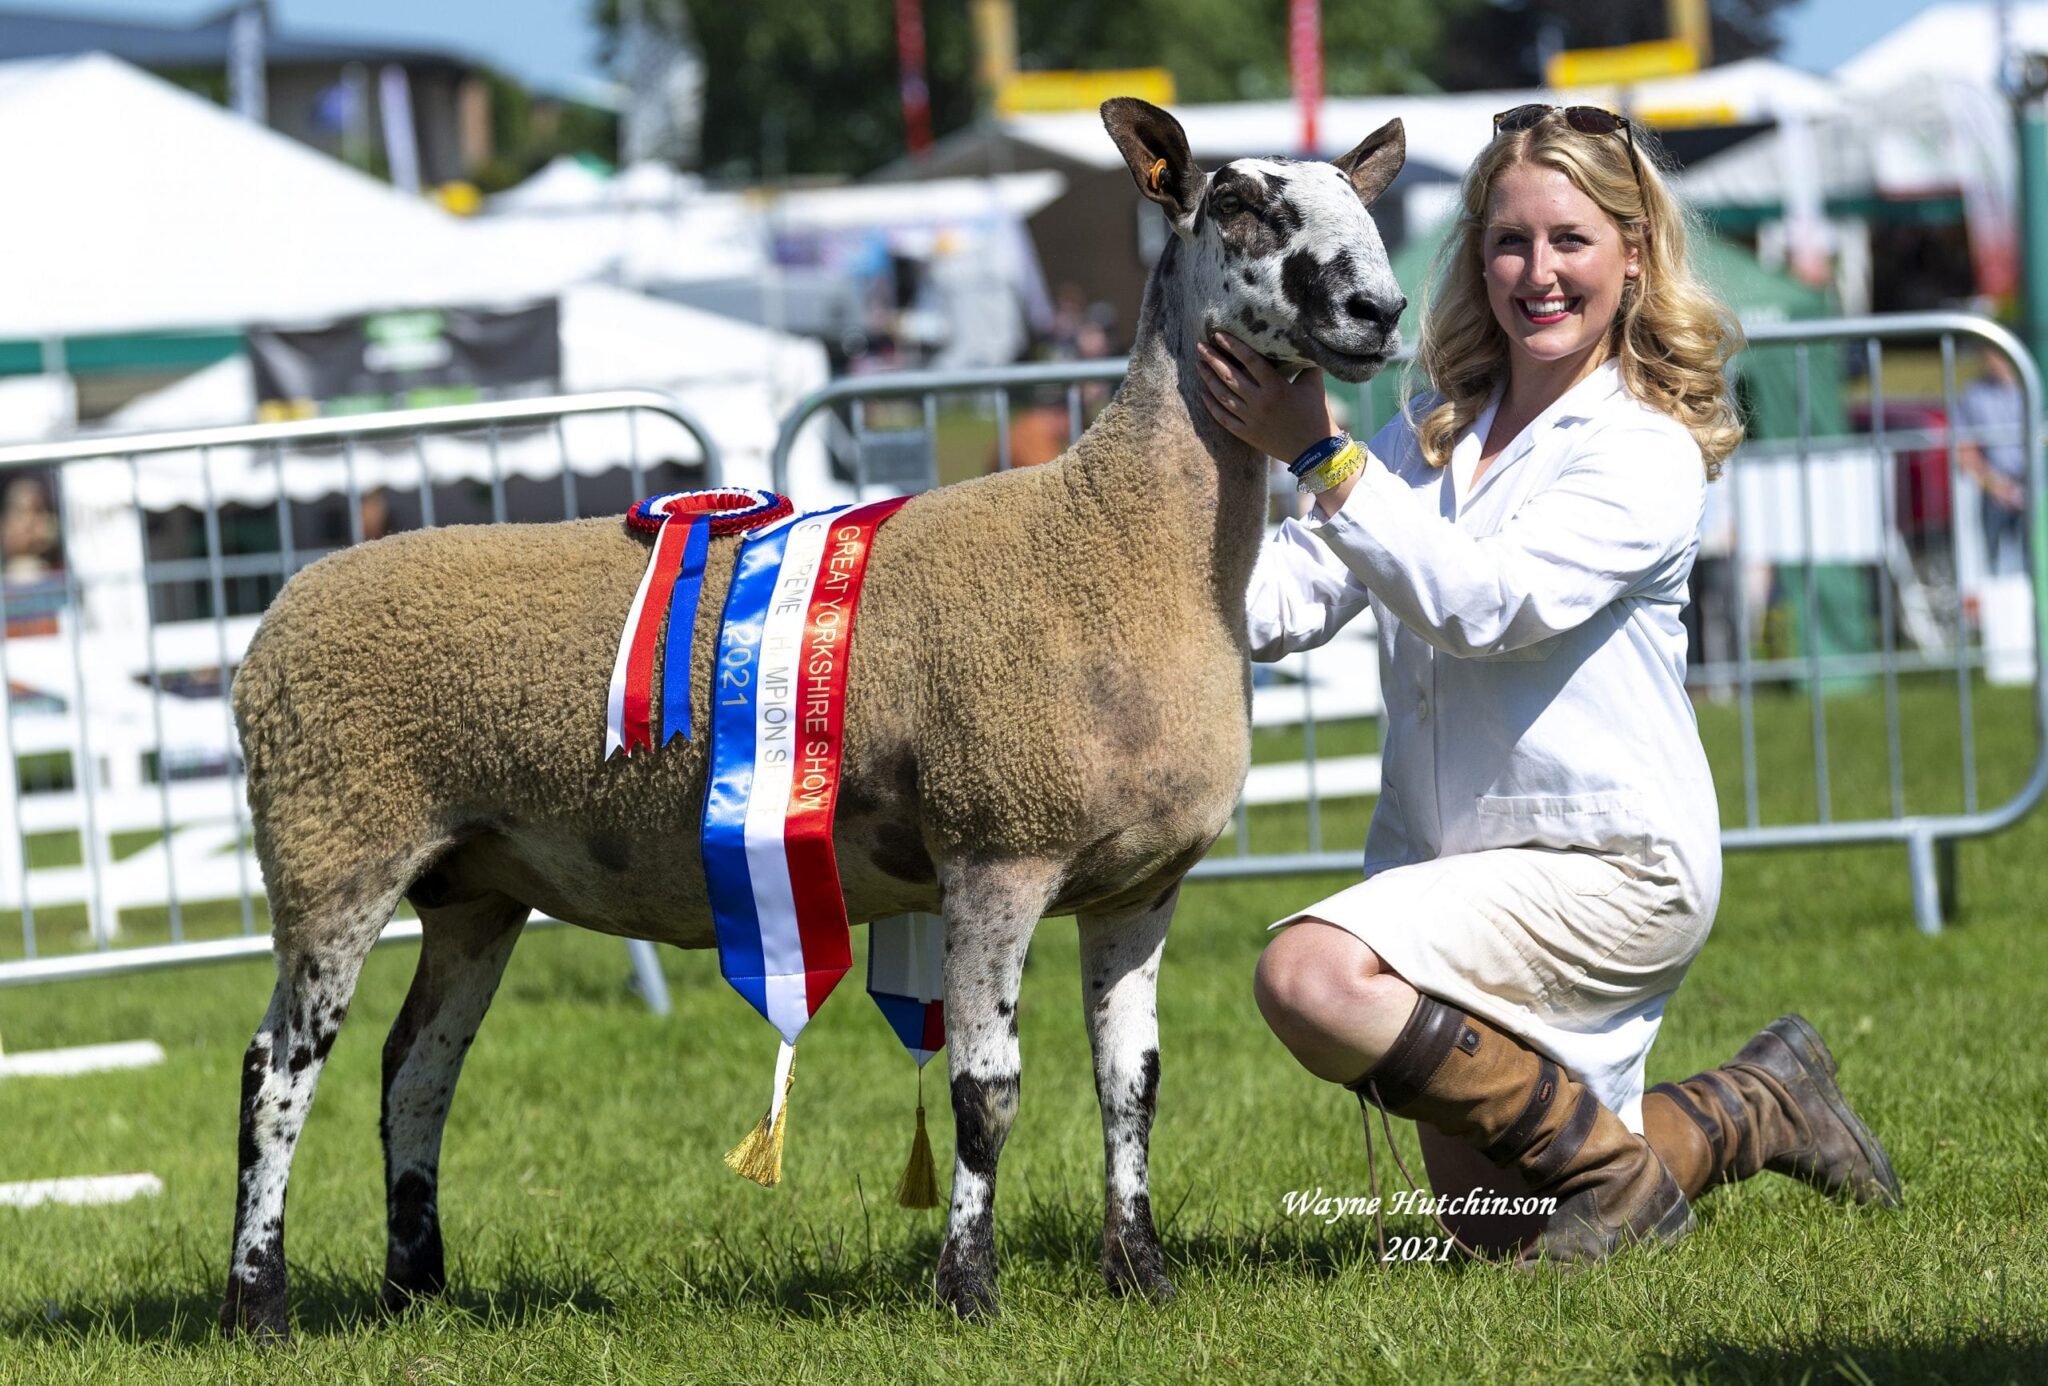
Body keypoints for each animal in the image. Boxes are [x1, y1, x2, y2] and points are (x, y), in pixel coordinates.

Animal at [220, 97, 1409, 1326]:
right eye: (1239, 203)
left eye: (1360, 203)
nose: (1380, 311)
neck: (1121, 545)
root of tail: (279, 616)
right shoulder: (996, 848)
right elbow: (988, 1090)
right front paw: (968, 1292)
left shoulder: (1139, 884)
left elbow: (1131, 1084)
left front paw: (1142, 1274)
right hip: (334, 845)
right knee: (276, 1071)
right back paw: (258, 1304)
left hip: (472, 881)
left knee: (416, 1067)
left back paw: (418, 1287)